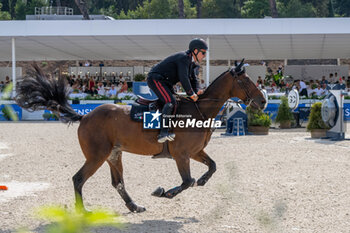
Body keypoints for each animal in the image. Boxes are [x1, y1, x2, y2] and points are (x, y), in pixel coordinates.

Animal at [14, 60, 266, 213]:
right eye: (244, 81)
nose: (263, 101)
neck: (199, 110)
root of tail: (85, 117)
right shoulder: (181, 155)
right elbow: (187, 181)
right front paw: (164, 192)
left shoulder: (195, 152)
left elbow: (212, 166)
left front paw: (202, 181)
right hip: (96, 156)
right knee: (78, 179)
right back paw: (82, 211)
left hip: (114, 155)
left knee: (118, 183)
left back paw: (134, 206)